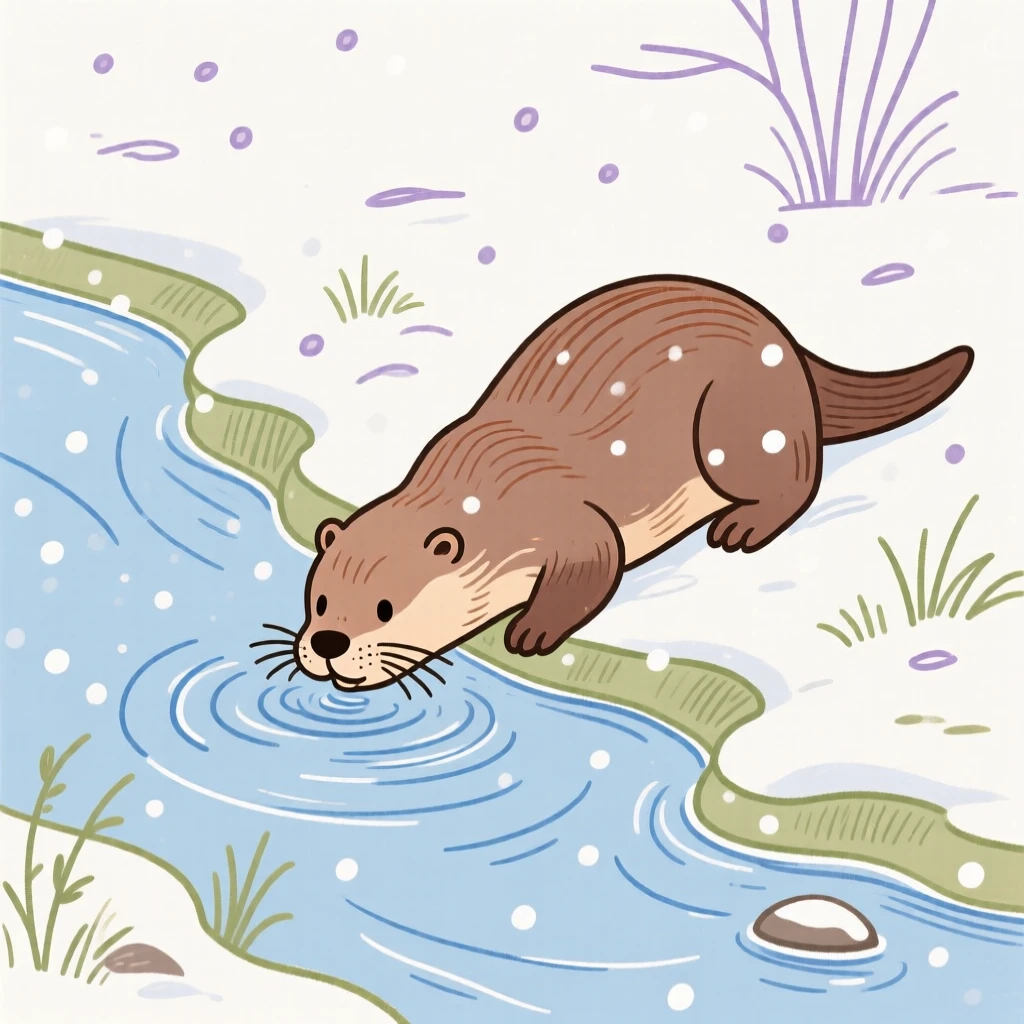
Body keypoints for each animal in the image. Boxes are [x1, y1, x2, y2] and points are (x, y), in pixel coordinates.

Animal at [287, 275, 973, 694]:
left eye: (386, 607)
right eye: (318, 601)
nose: (328, 641)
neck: (487, 500)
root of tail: (784, 339)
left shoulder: (564, 518)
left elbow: (597, 563)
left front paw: (531, 632)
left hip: (736, 426)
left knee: (797, 479)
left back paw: (743, 526)